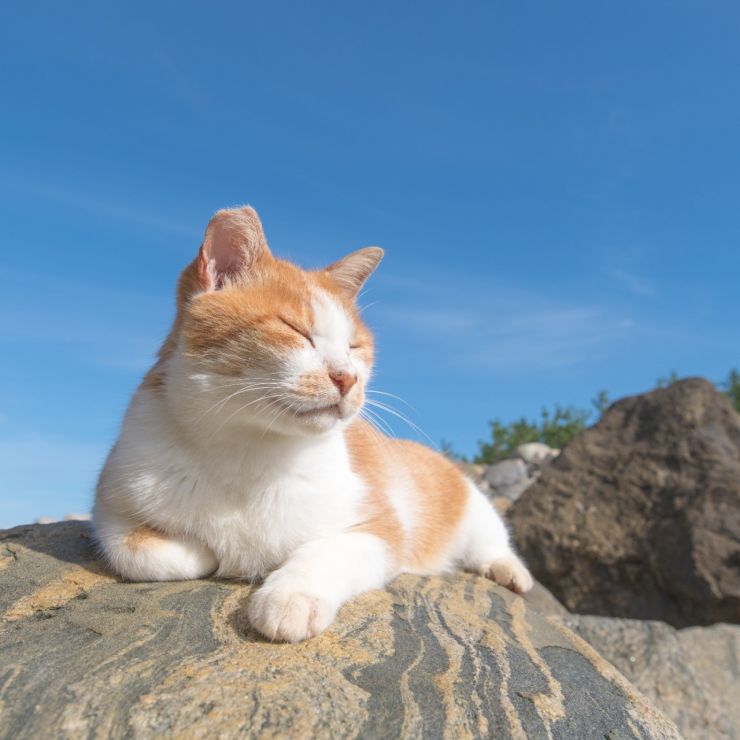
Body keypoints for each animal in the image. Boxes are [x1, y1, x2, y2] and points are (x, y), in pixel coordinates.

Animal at [92, 205, 532, 640]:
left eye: (354, 347)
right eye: (295, 330)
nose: (348, 377)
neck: (248, 450)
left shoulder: (379, 528)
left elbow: (326, 551)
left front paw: (290, 597)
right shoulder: (111, 508)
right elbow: (138, 551)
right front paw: (204, 552)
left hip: (469, 505)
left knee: (491, 541)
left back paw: (510, 571)